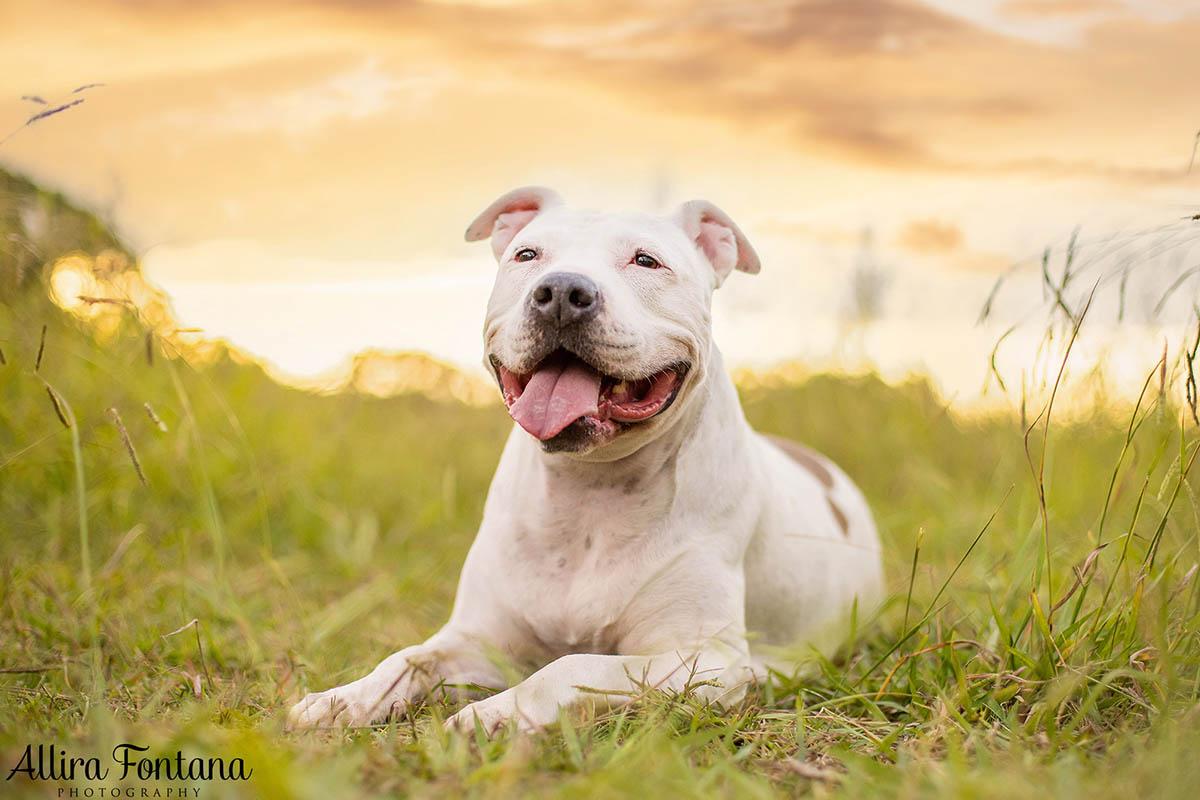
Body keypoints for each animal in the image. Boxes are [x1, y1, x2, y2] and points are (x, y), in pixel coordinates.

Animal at [286, 185, 888, 734]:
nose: (560, 290)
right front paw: (342, 699)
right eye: (527, 255)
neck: (589, 488)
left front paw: (495, 715)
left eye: (646, 260)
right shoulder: (479, 639)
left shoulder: (706, 661)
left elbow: (569, 666)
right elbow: (408, 658)